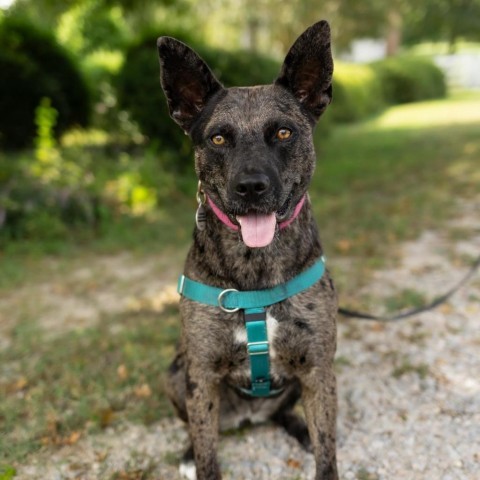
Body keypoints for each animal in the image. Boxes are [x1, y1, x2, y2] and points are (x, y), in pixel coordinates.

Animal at [158, 19, 338, 480]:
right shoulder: (202, 374)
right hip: (177, 372)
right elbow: (208, 457)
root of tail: (248, 417)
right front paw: (197, 457)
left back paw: (297, 427)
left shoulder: (318, 368)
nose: (251, 187)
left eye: (283, 132)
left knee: (285, 413)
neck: (256, 268)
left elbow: (328, 455)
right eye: (219, 138)